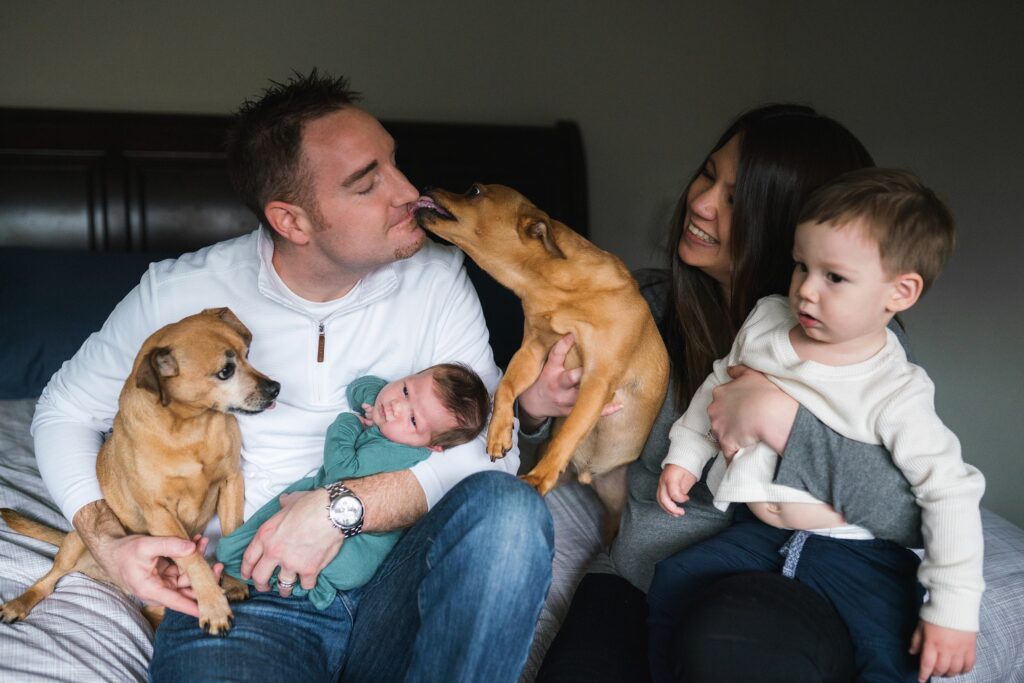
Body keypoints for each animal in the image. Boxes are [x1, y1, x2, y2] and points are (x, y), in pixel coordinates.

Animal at [0, 309, 280, 634]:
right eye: (225, 371)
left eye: (248, 354)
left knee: (151, 610)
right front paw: (213, 604)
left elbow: (232, 534)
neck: (191, 426)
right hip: (76, 541)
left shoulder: (231, 481)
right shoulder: (159, 512)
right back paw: (19, 603)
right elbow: (192, 556)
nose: (276, 388)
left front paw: (233, 583)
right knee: (49, 579)